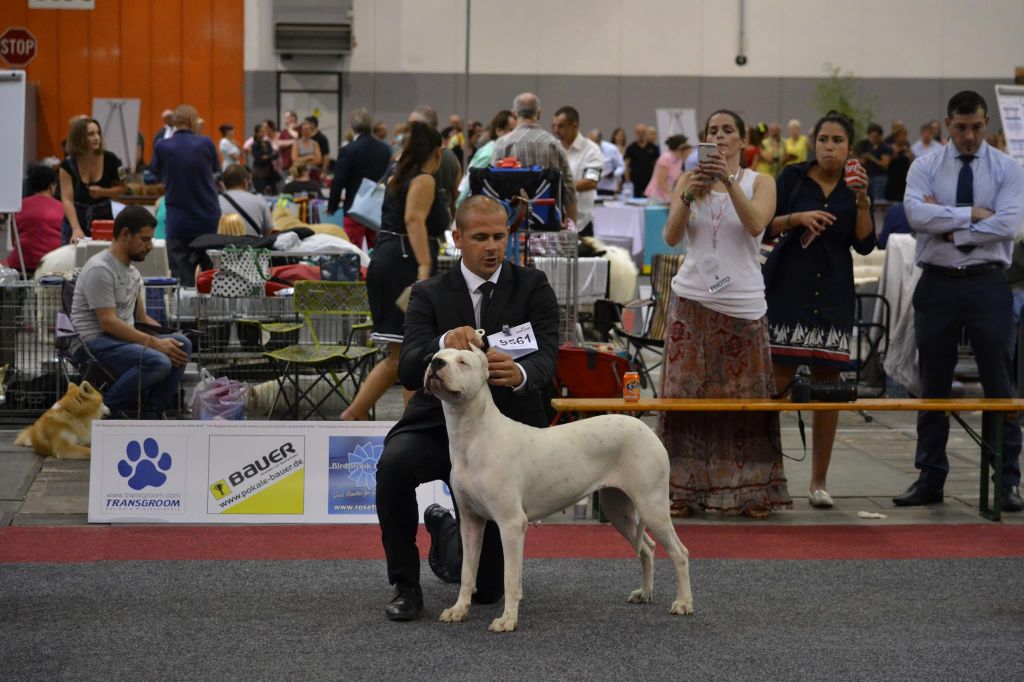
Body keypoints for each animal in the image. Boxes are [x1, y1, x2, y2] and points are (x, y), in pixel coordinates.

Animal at [423, 346, 696, 630]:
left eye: (463, 362)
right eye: (435, 356)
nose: (436, 363)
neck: (472, 436)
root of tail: (647, 429)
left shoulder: (511, 523)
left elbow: (510, 578)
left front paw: (508, 620)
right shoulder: (470, 521)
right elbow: (467, 572)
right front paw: (459, 610)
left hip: (652, 505)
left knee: (679, 552)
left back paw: (683, 603)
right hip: (618, 510)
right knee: (648, 548)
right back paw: (644, 593)